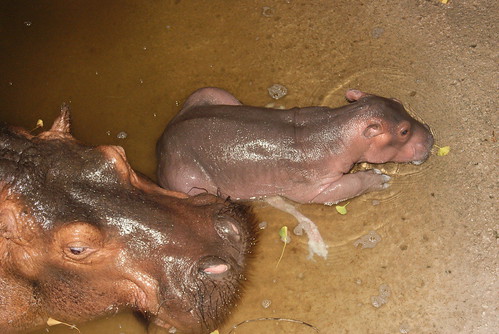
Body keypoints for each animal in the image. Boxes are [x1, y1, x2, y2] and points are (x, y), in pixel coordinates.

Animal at [156, 87, 434, 205]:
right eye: (404, 131)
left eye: (398, 101)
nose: (431, 136)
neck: (337, 128)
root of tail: (164, 140)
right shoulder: (314, 187)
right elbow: (346, 186)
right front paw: (378, 178)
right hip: (187, 179)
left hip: (208, 93)